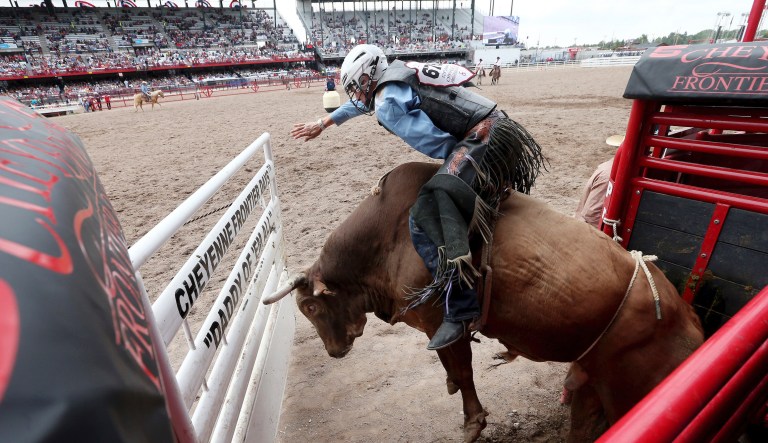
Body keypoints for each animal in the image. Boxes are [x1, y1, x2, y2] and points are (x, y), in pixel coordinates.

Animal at [264, 162, 704, 442]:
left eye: (311, 307)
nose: (334, 351)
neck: (391, 235)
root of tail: (688, 319)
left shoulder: (446, 324)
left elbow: (463, 374)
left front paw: (472, 423)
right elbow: (451, 371)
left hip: (625, 391)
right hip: (590, 384)